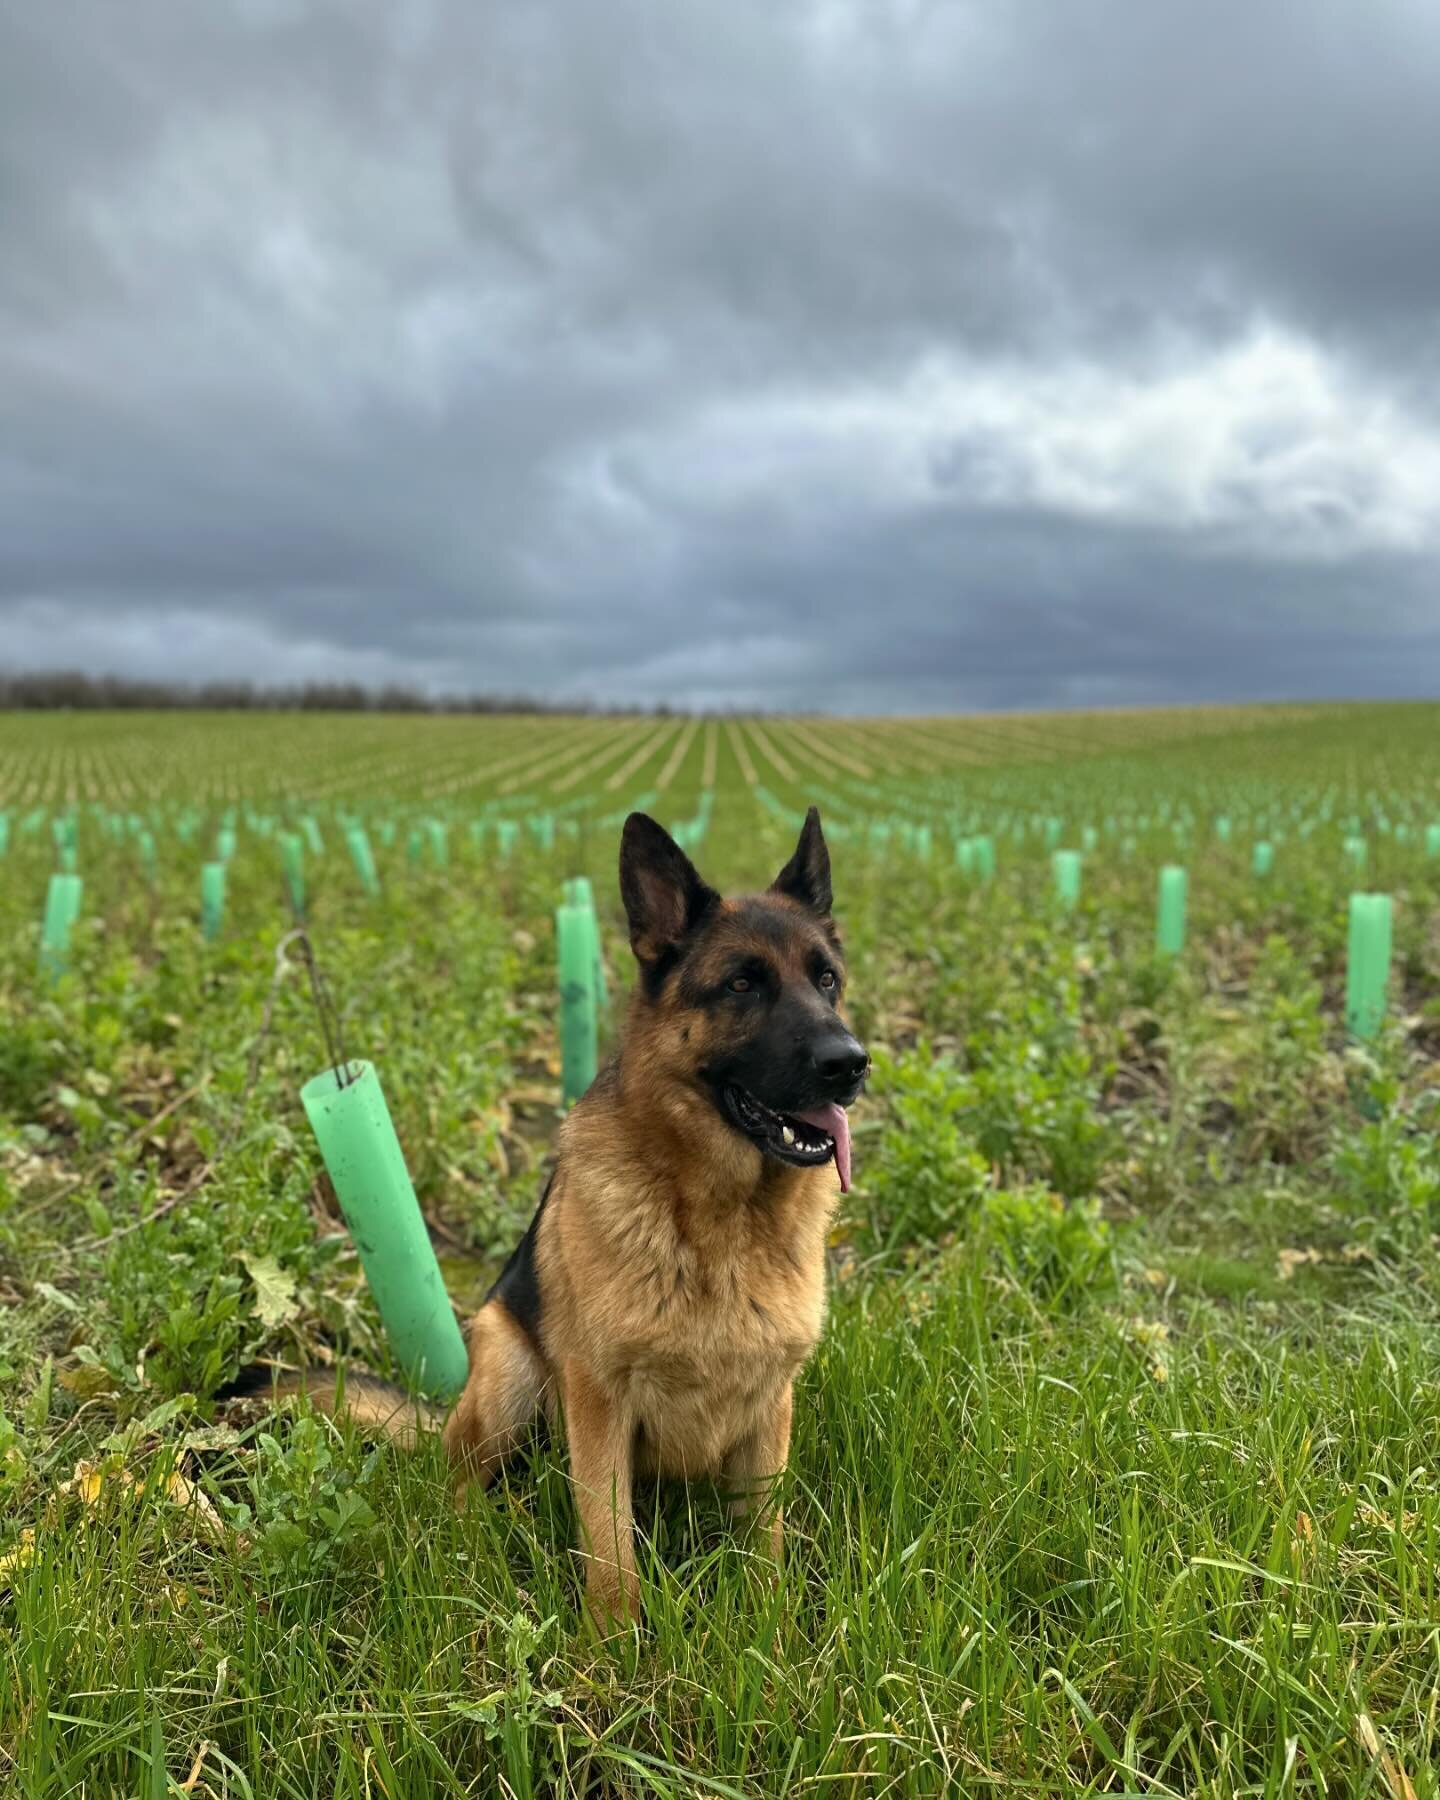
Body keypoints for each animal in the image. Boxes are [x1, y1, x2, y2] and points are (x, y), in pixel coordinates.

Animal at [246, 810, 860, 1627]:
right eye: (740, 984)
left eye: (827, 981)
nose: (850, 1063)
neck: (721, 1221)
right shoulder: (599, 1402)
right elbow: (610, 1552)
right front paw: (613, 1652)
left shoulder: (769, 1411)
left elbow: (765, 1546)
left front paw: (772, 1635)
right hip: (510, 1376)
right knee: (458, 1486)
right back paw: (474, 1545)